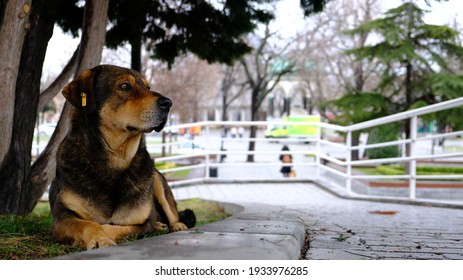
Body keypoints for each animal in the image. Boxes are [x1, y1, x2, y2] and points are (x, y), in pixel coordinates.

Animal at [49, 65, 196, 249]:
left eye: (147, 87)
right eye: (124, 86)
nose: (168, 103)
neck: (117, 158)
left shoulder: (140, 223)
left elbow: (112, 226)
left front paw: (103, 236)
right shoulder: (61, 219)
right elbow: (89, 224)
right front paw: (99, 238)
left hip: (156, 179)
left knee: (172, 212)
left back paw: (175, 225)